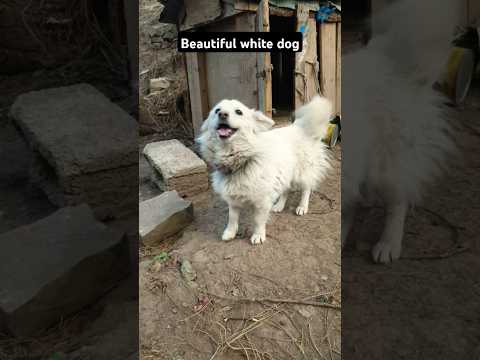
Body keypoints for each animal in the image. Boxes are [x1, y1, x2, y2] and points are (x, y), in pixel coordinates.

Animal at [197, 95, 332, 245]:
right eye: (217, 110)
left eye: (238, 112)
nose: (222, 114)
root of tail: (299, 126)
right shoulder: (233, 199)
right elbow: (232, 218)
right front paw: (230, 232)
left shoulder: (262, 200)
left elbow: (258, 220)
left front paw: (258, 235)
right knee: (286, 189)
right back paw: (279, 205)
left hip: (302, 173)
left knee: (306, 189)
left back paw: (302, 207)